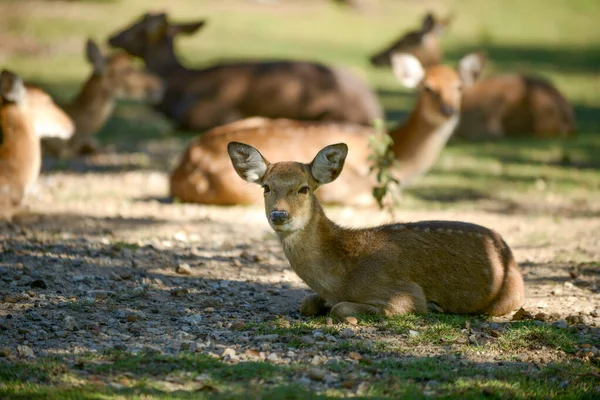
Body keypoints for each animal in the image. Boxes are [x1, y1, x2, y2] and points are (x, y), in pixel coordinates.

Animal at [227, 141, 524, 318]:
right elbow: (307, 303)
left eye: (304, 188)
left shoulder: (403, 292)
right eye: (266, 187)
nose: (279, 214)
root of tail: (508, 250)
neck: (342, 275)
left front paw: (434, 306)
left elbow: (340, 309)